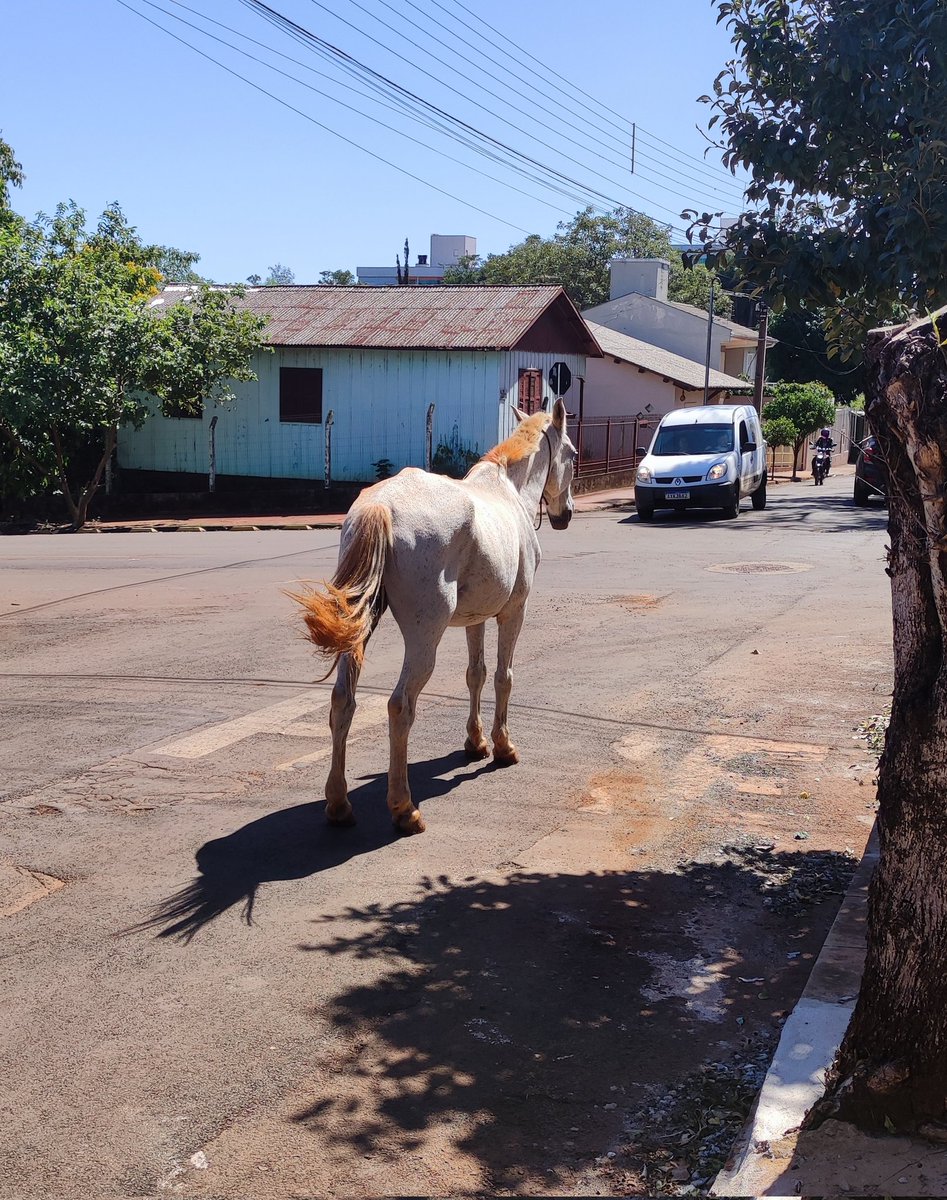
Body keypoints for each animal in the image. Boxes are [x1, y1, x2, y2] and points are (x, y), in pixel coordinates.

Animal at [291, 398, 577, 835]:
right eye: (573, 455)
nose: (566, 514)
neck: (509, 492)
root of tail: (380, 505)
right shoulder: (513, 612)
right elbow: (503, 677)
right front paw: (502, 747)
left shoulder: (476, 618)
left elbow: (475, 675)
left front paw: (476, 743)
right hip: (425, 640)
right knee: (399, 706)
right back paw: (404, 809)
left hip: (359, 629)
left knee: (342, 700)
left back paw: (338, 804)